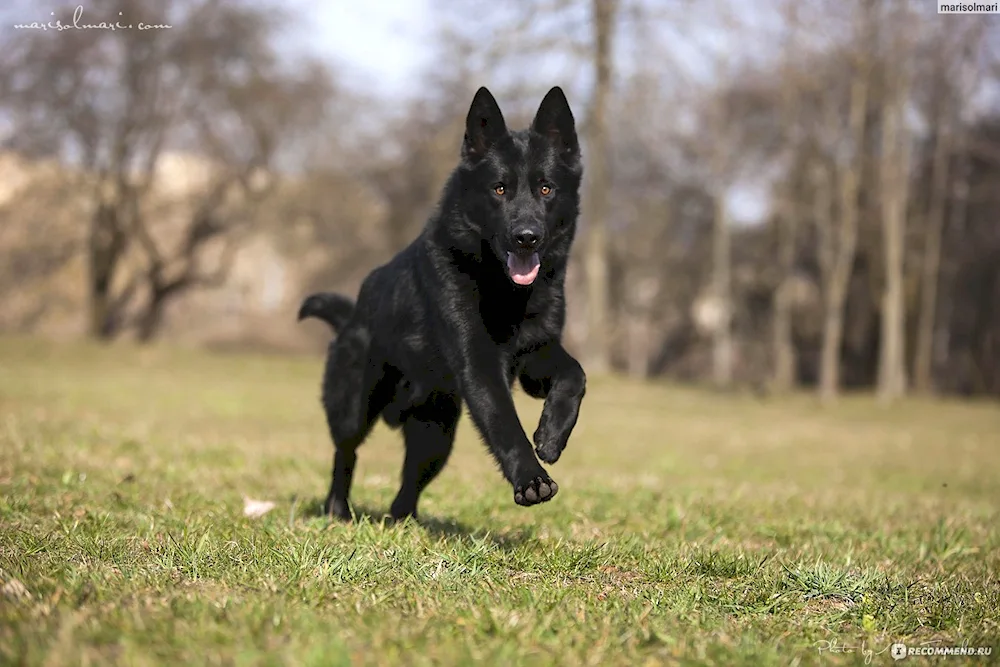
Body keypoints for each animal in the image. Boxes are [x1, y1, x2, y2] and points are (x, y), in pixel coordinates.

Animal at [296, 85, 584, 520]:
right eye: (499, 189)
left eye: (546, 188)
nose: (526, 237)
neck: (506, 291)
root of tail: (352, 316)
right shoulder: (479, 366)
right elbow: (505, 422)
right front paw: (531, 478)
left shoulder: (536, 360)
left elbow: (575, 375)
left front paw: (551, 437)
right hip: (353, 408)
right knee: (345, 453)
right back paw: (337, 511)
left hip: (436, 436)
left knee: (408, 483)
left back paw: (402, 522)